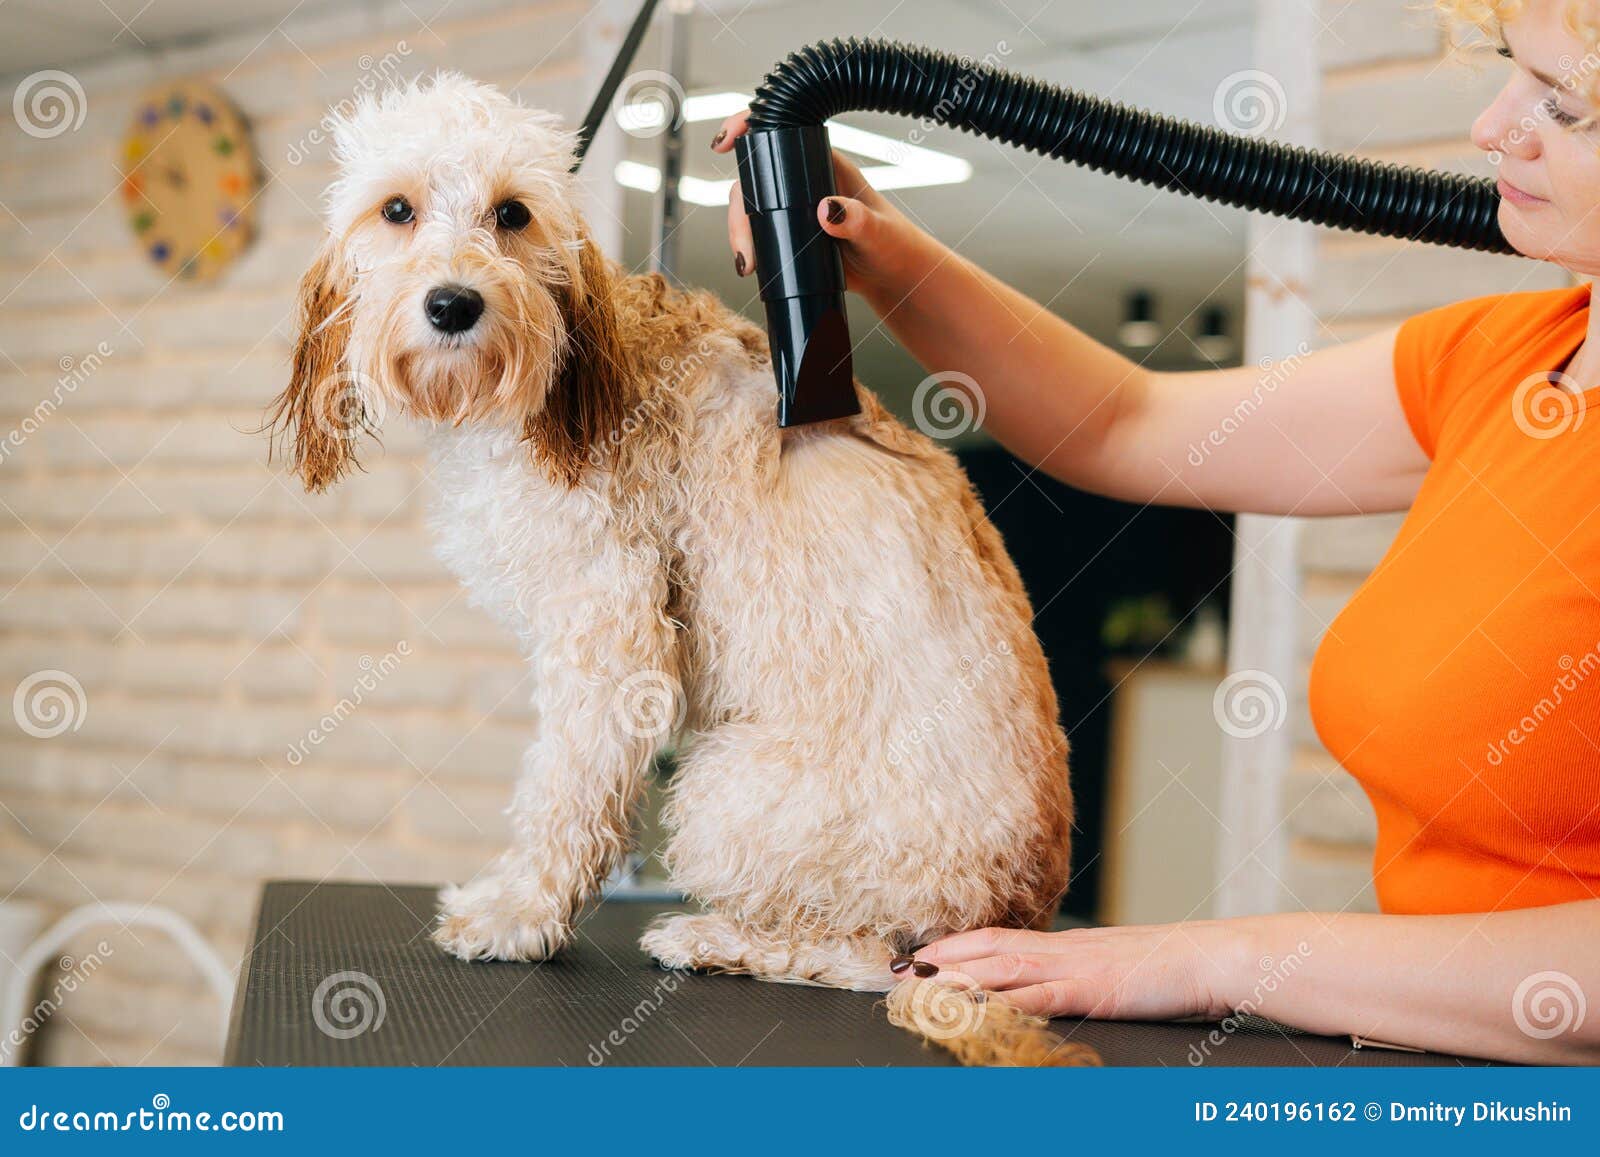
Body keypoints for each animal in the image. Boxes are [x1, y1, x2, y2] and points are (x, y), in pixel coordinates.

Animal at [268, 72, 1094, 1068]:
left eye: (512, 213)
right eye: (397, 209)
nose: (454, 305)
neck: (568, 368)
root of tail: (1025, 902)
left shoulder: (610, 638)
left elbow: (563, 792)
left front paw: (517, 915)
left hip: (727, 795)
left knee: (875, 961)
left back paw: (717, 938)